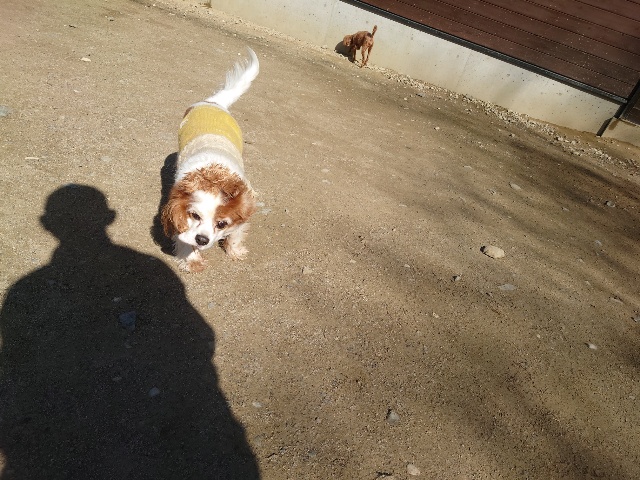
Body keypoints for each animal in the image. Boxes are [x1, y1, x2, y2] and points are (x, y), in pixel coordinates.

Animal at [161, 48, 259, 272]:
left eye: (222, 224)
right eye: (195, 216)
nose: (202, 239)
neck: (216, 177)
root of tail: (214, 103)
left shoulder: (243, 208)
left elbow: (236, 233)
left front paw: (234, 251)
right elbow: (183, 237)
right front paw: (192, 260)